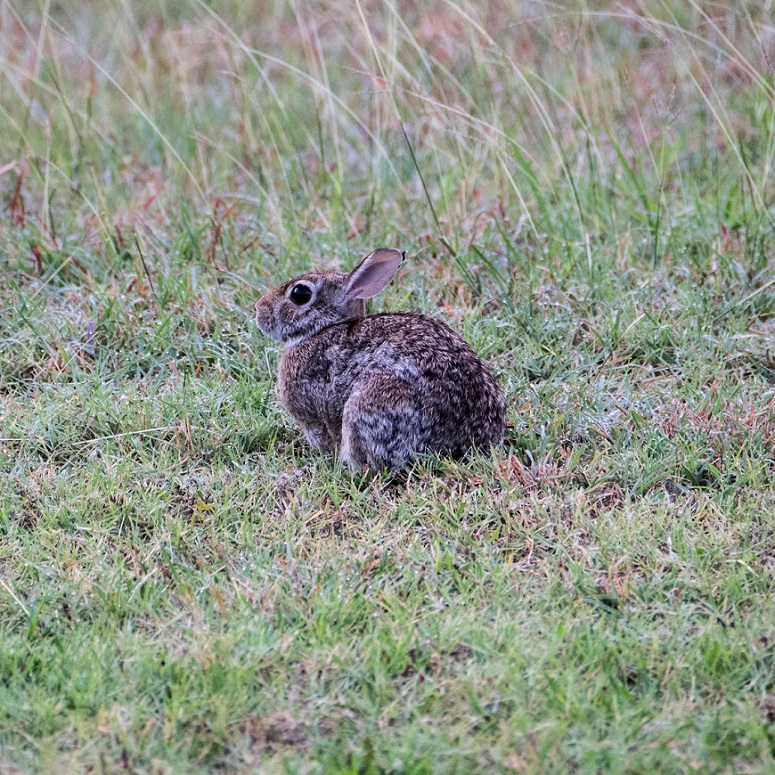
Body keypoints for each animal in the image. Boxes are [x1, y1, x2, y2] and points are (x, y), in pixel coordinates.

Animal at [254, 248, 506, 471]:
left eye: (300, 294)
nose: (258, 308)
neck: (323, 329)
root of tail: (465, 442)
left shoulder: (315, 415)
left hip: (372, 402)